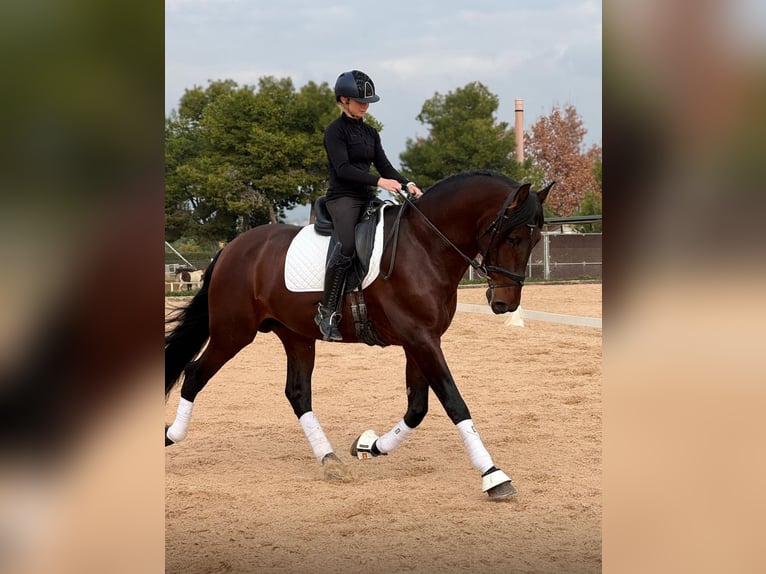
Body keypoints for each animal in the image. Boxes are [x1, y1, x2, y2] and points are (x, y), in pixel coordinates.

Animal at [165, 170, 553, 499]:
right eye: (513, 236)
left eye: (535, 239)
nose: (504, 303)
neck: (425, 245)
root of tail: (232, 248)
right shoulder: (420, 339)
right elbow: (454, 403)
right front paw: (493, 475)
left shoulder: (421, 341)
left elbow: (417, 408)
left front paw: (370, 446)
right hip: (233, 332)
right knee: (195, 374)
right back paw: (171, 435)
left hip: (296, 336)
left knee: (298, 393)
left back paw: (330, 460)